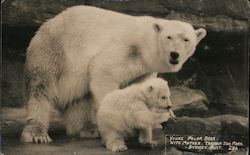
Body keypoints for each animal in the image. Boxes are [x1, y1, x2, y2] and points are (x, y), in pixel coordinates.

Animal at [21, 5, 205, 143]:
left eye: (186, 39)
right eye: (168, 37)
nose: (175, 54)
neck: (145, 45)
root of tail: (47, 23)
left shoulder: (144, 68)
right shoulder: (127, 49)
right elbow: (104, 72)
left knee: (79, 100)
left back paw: (87, 129)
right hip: (54, 51)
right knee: (41, 90)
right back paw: (37, 133)